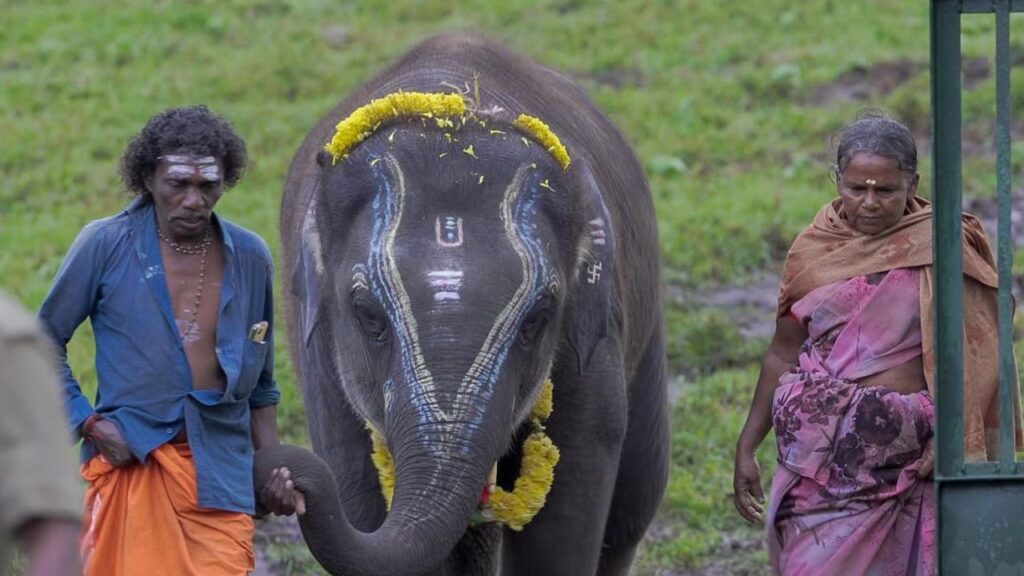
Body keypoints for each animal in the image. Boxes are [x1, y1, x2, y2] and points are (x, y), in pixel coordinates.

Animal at [258, 32, 669, 576]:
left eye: (537, 319)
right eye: (369, 315)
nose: (282, 483)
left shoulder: (592, 345)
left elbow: (571, 496)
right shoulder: (321, 357)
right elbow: (357, 485)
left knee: (633, 508)